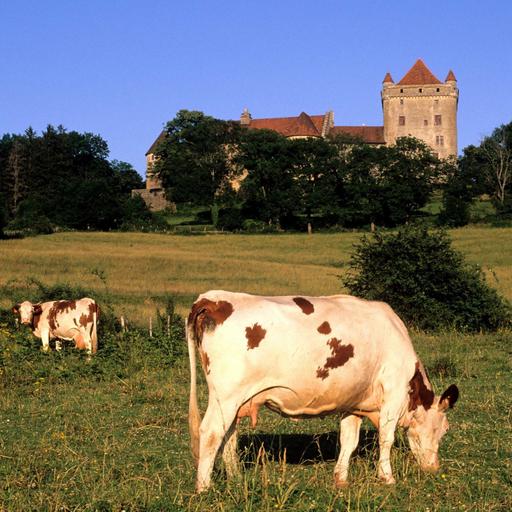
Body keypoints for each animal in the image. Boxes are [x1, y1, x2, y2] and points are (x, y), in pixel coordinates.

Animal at [186, 290, 458, 490]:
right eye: (444, 429)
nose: (434, 467)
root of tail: (213, 299)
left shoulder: (354, 403)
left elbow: (349, 441)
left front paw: (341, 478)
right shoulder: (394, 391)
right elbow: (386, 438)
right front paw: (387, 477)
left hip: (235, 400)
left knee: (228, 435)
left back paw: (236, 479)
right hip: (226, 396)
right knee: (211, 433)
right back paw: (204, 487)